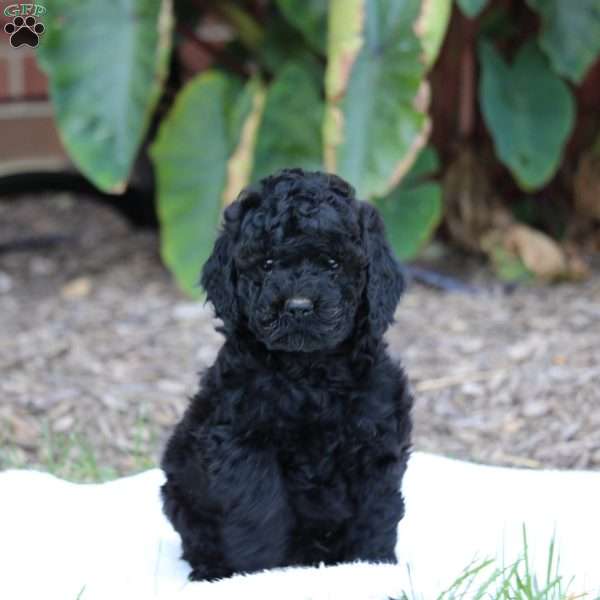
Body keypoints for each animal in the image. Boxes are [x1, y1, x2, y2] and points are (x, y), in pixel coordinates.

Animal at [159, 169, 412, 580]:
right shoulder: (244, 445)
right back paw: (211, 570)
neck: (309, 374)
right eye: (266, 263)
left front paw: (371, 567)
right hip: (181, 482)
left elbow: (376, 512)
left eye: (332, 263)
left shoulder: (376, 441)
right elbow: (259, 514)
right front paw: (259, 576)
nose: (297, 307)